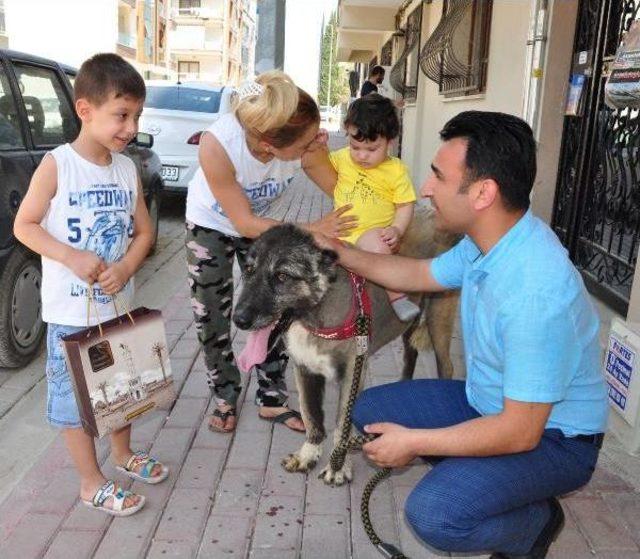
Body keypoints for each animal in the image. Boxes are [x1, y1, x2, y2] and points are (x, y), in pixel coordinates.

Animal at [232, 205, 458, 486]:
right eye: (249, 270)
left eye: (282, 276)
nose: (238, 319)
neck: (316, 316)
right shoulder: (304, 368)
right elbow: (311, 416)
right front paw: (308, 454)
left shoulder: (353, 373)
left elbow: (342, 423)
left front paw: (338, 465)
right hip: (409, 326)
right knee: (410, 354)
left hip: (439, 319)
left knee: (446, 365)